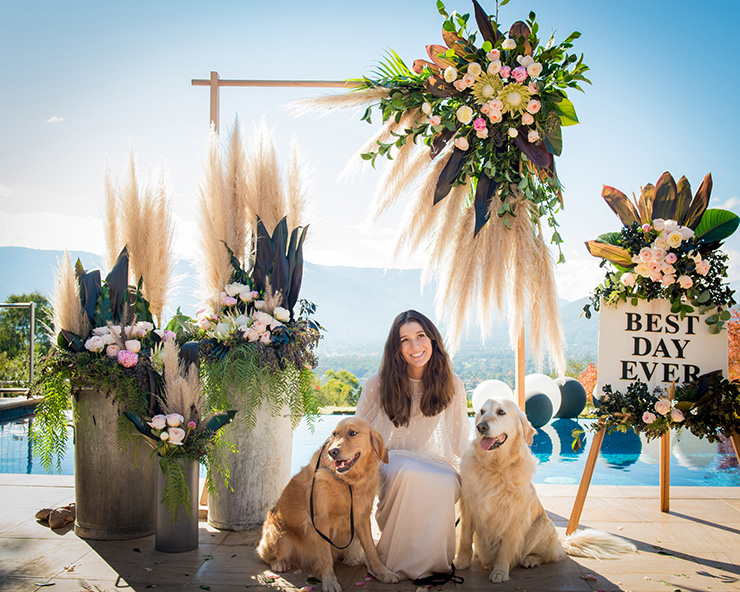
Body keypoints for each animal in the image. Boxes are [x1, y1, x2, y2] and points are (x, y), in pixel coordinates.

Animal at [258, 416, 398, 592]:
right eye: (335, 434)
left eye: (353, 433)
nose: (332, 452)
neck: (348, 482)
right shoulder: (320, 521)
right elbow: (325, 556)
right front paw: (329, 581)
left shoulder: (362, 519)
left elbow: (371, 550)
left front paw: (382, 572)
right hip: (281, 537)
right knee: (263, 553)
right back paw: (278, 563)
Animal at [454, 398, 632, 584]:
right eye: (482, 411)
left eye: (501, 412)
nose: (480, 427)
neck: (494, 467)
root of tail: (560, 542)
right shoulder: (468, 507)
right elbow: (465, 540)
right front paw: (461, 562)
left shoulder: (514, 516)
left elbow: (506, 548)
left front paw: (500, 571)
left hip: (542, 525)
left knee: (552, 555)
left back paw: (530, 559)